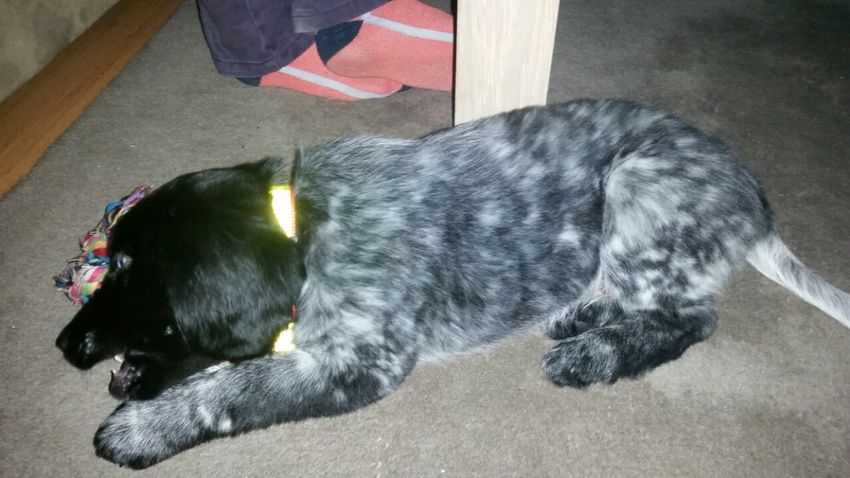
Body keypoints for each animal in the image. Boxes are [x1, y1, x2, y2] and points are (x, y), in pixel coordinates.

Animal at [55, 99, 850, 468]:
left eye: (126, 269)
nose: (64, 345)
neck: (300, 225)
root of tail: (753, 199)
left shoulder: (361, 360)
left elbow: (232, 389)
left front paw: (141, 429)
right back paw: (580, 315)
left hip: (637, 186)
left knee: (693, 318)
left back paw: (593, 352)